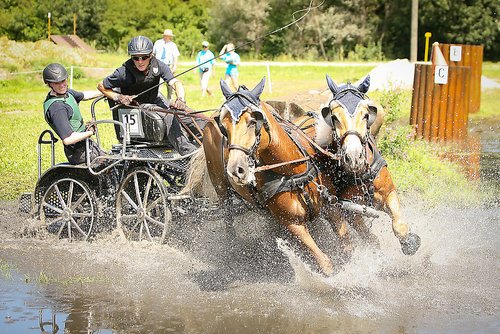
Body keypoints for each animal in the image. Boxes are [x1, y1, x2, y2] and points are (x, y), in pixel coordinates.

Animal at [196, 79, 344, 276]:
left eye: (253, 121)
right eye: (224, 128)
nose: (236, 170)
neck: (292, 172)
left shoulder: (331, 207)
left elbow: (347, 245)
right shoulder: (293, 224)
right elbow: (324, 262)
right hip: (221, 188)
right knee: (227, 216)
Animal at [312, 74, 422, 254]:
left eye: (366, 115)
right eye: (334, 117)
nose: (353, 156)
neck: (360, 174)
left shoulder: (389, 192)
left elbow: (399, 226)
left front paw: (410, 242)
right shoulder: (351, 211)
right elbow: (370, 238)